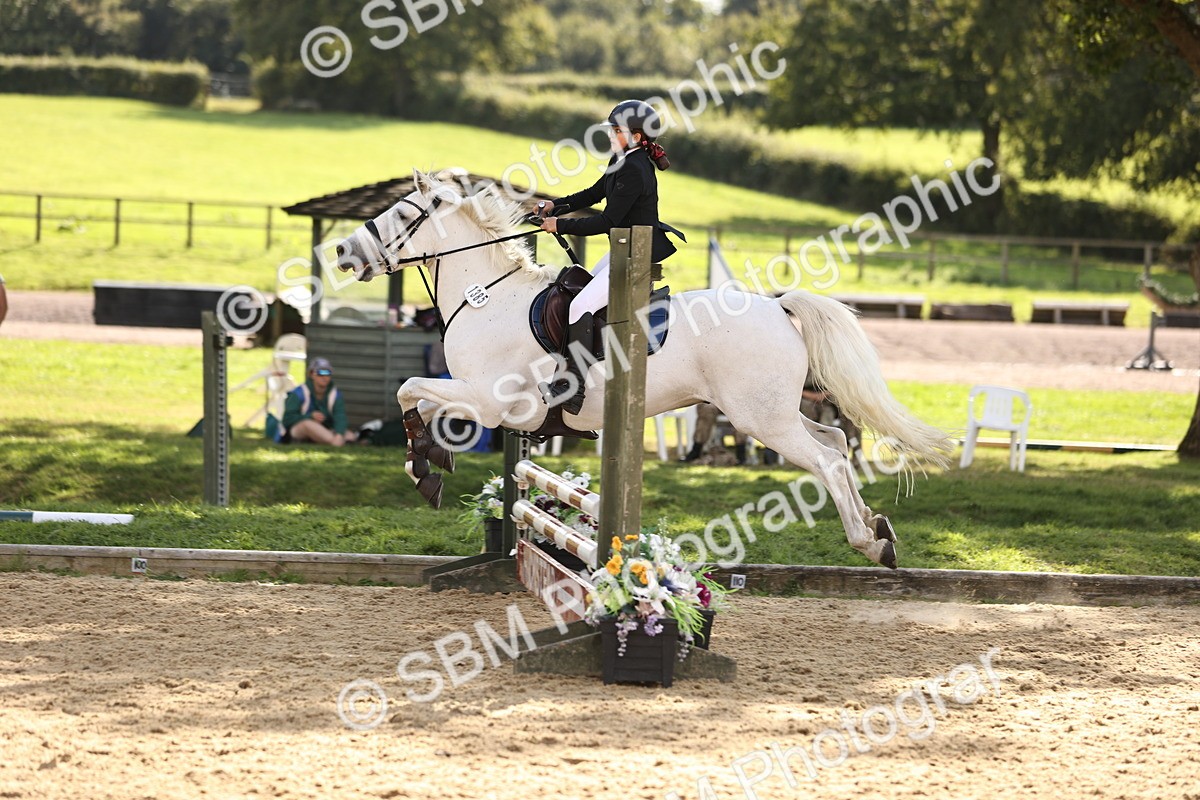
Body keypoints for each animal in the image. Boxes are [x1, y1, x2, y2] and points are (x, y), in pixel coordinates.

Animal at [334, 170, 953, 569]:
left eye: (401, 214)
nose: (342, 253)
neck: (488, 297)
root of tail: (777, 306)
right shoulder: (483, 401)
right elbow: (415, 397)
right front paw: (429, 462)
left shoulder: (490, 401)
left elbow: (409, 389)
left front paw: (425, 468)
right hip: (774, 412)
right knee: (836, 443)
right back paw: (878, 529)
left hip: (760, 419)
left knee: (826, 460)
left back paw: (868, 542)